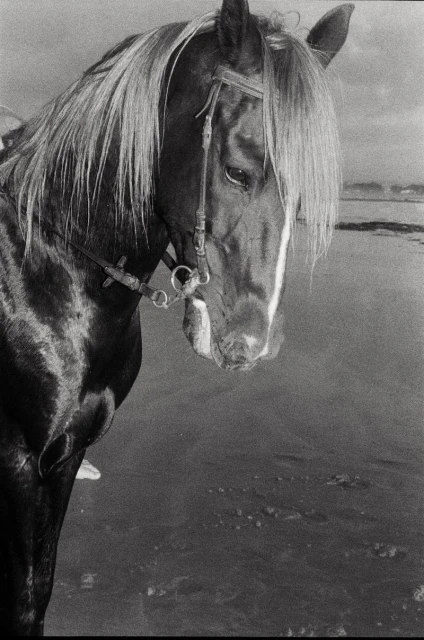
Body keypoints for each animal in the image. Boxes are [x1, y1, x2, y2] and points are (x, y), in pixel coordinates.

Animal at [0, 0, 353, 634]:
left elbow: (39, 587)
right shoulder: (18, 461)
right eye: (237, 170)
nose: (251, 342)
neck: (50, 270)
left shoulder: (64, 456)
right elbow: (23, 598)